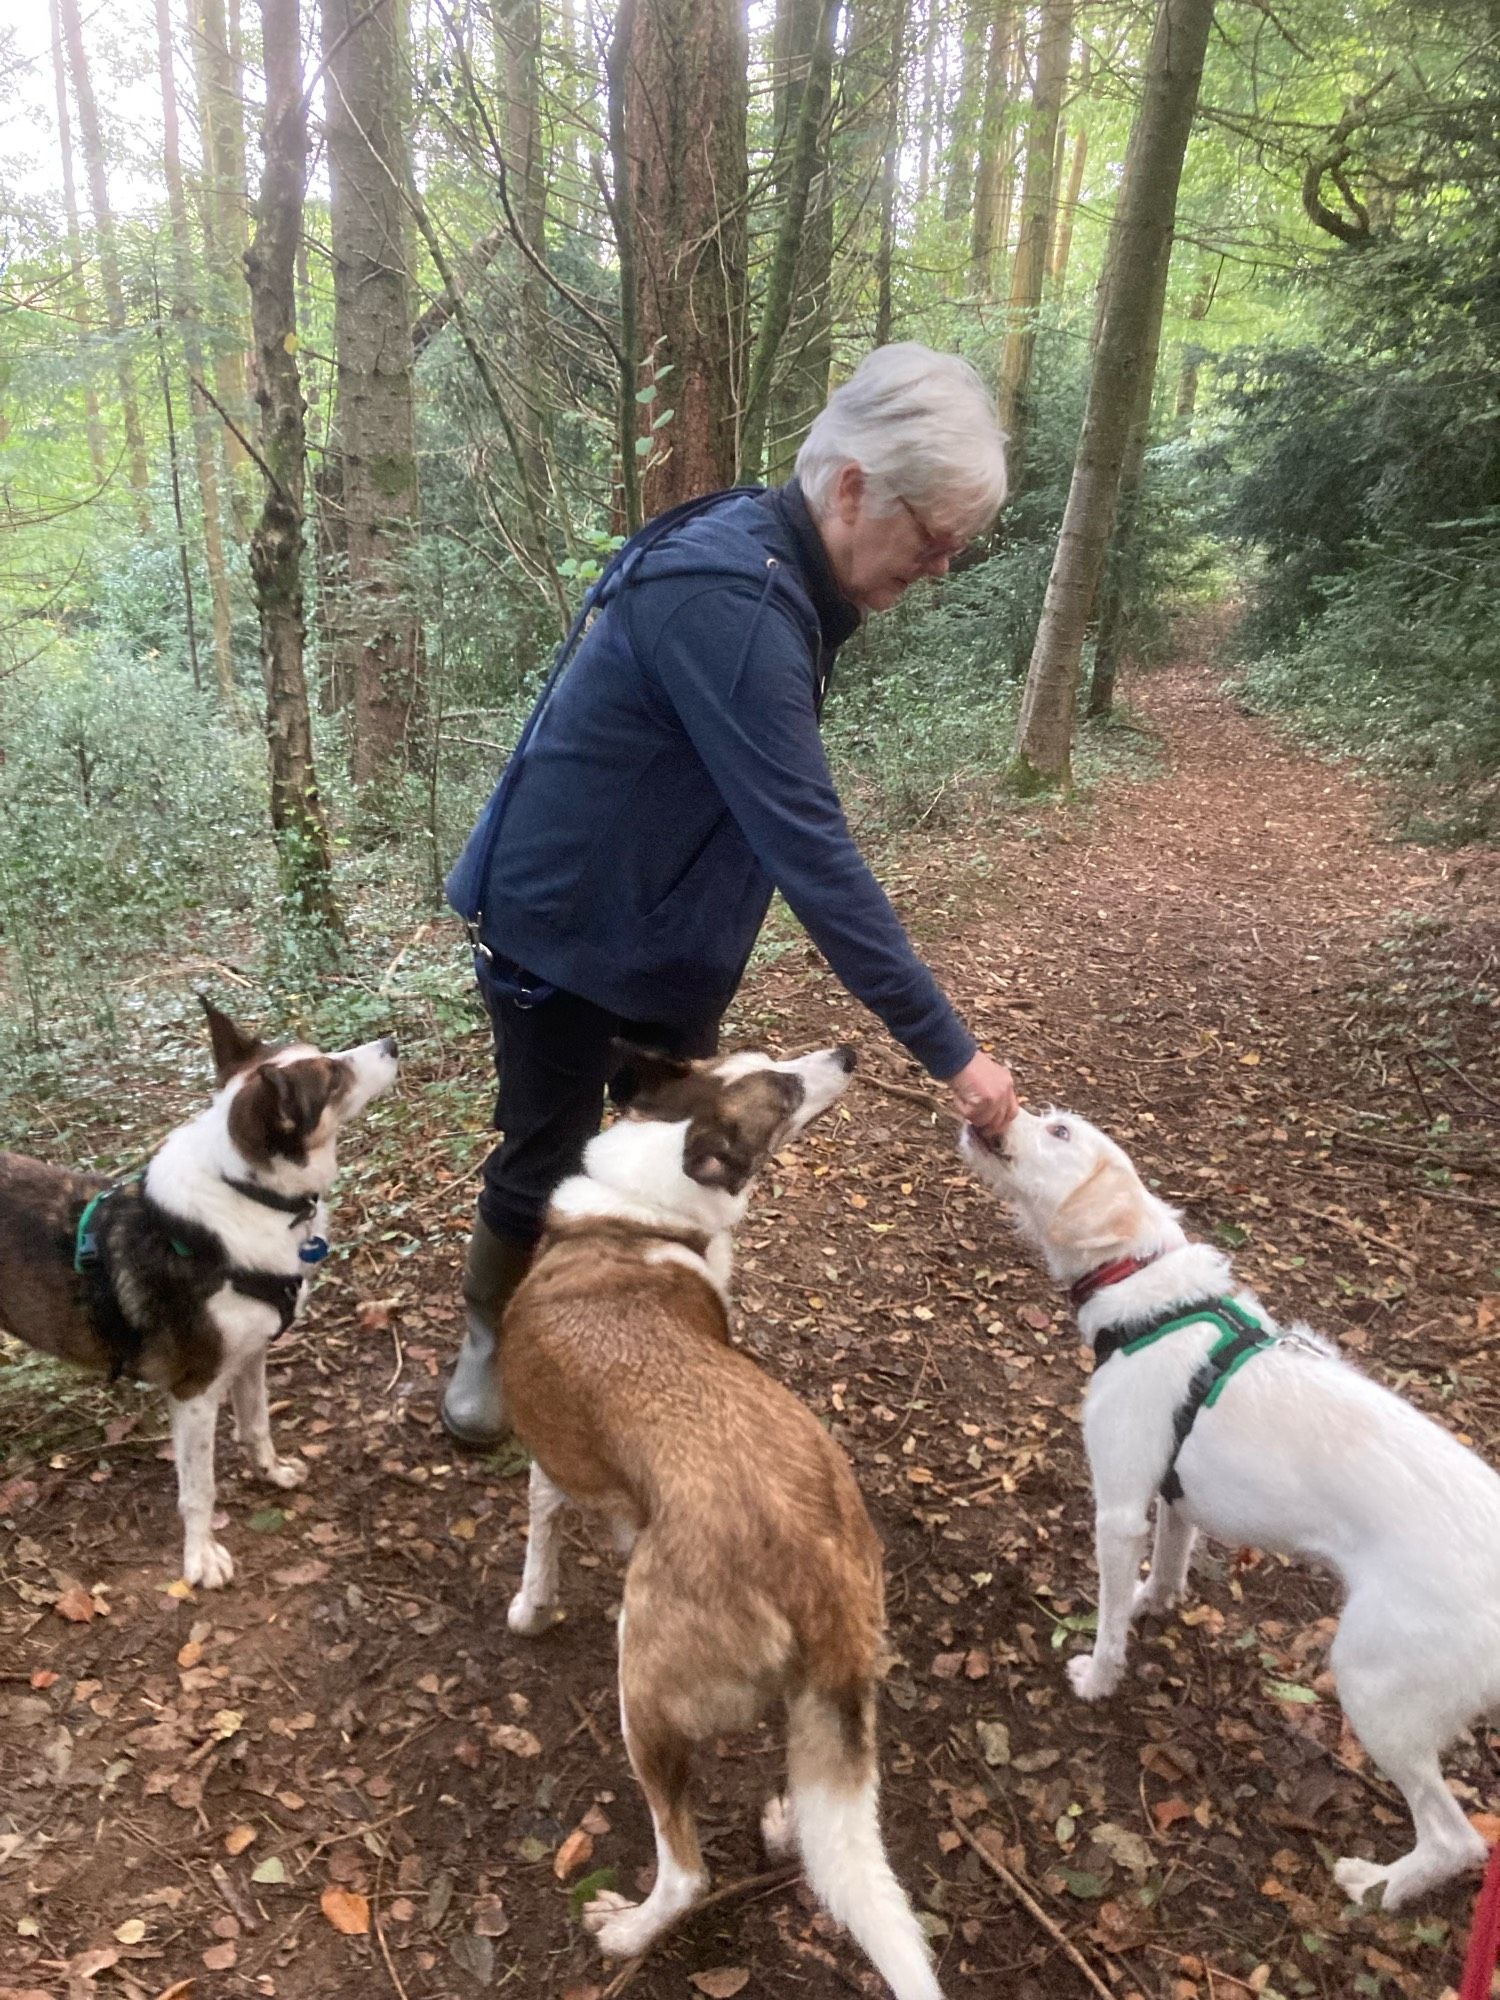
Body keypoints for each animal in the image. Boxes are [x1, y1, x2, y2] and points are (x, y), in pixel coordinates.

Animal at [0, 1000, 400, 1592]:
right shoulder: (194, 1390)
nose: (392, 1045)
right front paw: (200, 1556)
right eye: (332, 1076)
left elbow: (257, 1425)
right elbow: (199, 1490)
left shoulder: (251, 1355)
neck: (249, 1194)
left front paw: (272, 1473)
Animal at [506, 1048, 952, 2000]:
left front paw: (532, 1608)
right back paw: (785, 1826)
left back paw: (628, 1931)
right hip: (825, 1702)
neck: (640, 1205)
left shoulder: (551, 1457)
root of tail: (821, 1577)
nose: (848, 1053)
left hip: (642, 1691)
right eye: (773, 1078)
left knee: (686, 1871)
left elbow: (539, 1530)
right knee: (825, 1813)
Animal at [964, 1112, 1500, 1904]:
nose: (982, 1110)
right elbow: (1168, 1565)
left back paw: (1374, 1885)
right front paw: (1156, 1601)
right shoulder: (1173, 1496)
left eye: (1058, 1129)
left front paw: (1098, 1679)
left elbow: (1109, 1621)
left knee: (1454, 1838)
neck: (1144, 1285)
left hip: (1375, 1687)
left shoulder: (1117, 1508)